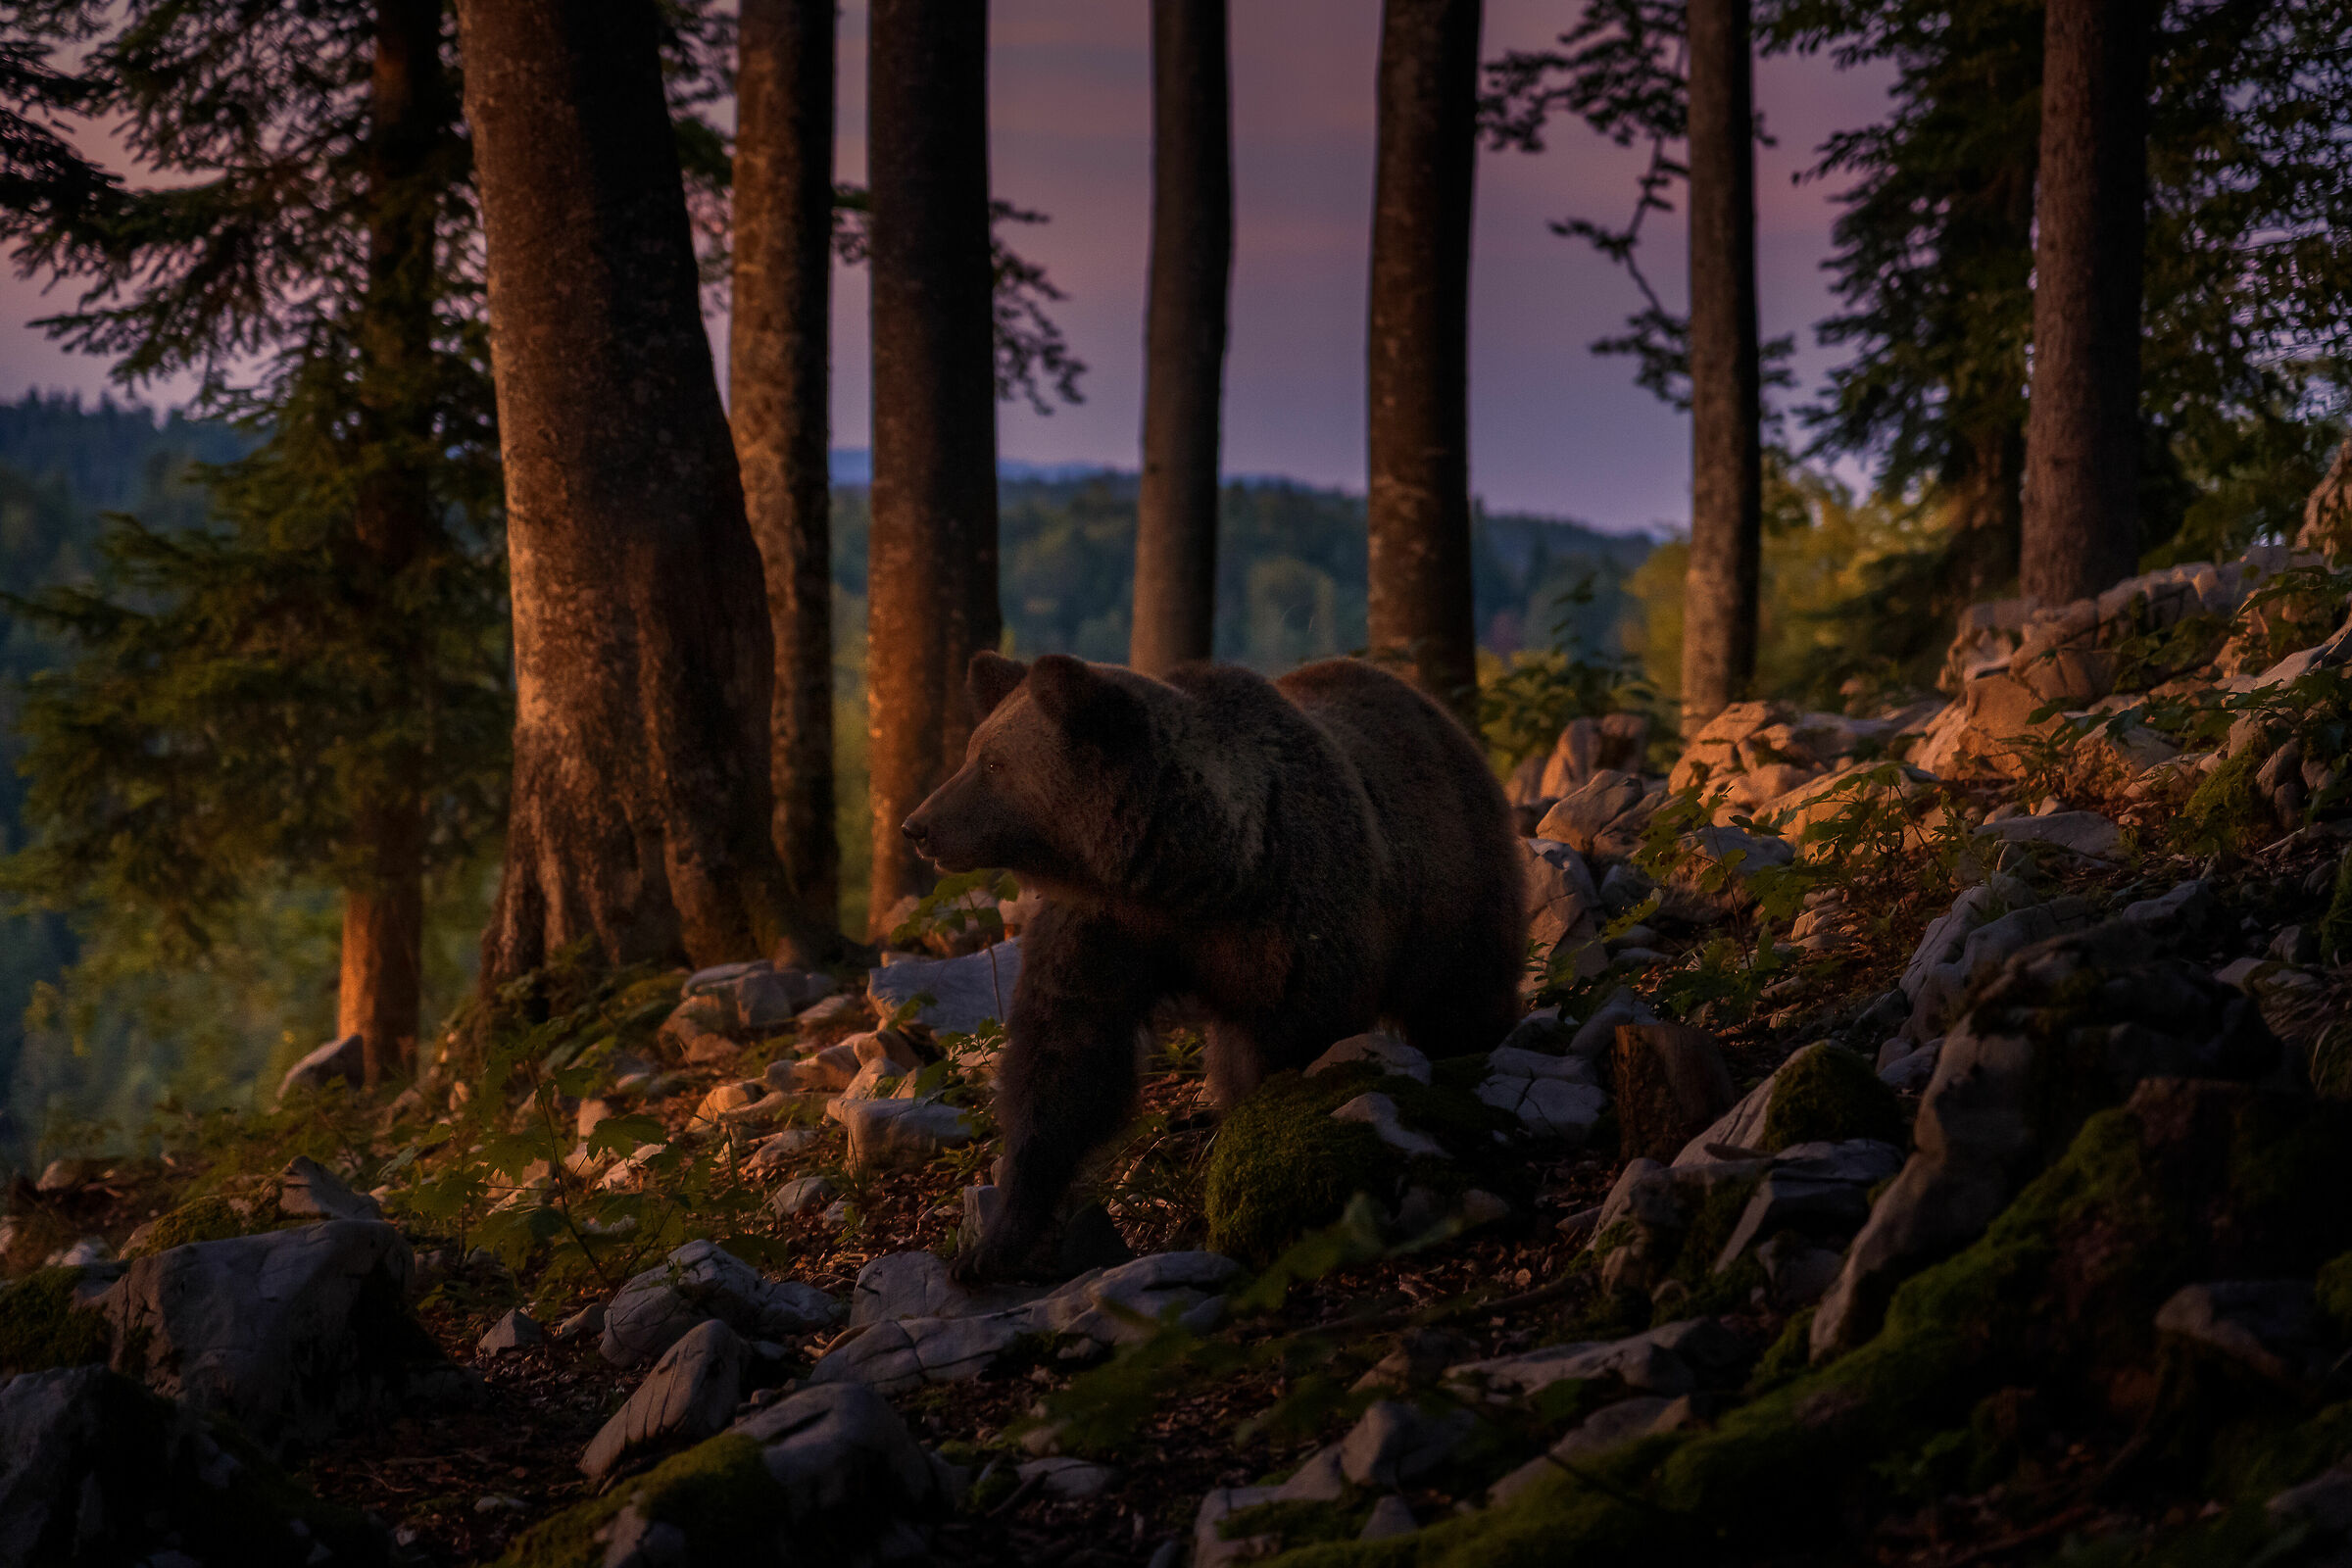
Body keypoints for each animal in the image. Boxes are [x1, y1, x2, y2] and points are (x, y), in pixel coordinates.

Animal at [901, 650, 1525, 1280]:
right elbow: (1062, 1060)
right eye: (975, 750)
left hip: (1455, 879)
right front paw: (993, 1243)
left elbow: (1293, 1045)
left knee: (1462, 996)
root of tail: (1426, 705)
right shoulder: (1103, 926)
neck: (1189, 871)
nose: (917, 826)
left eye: (993, 762)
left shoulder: (1291, 919)